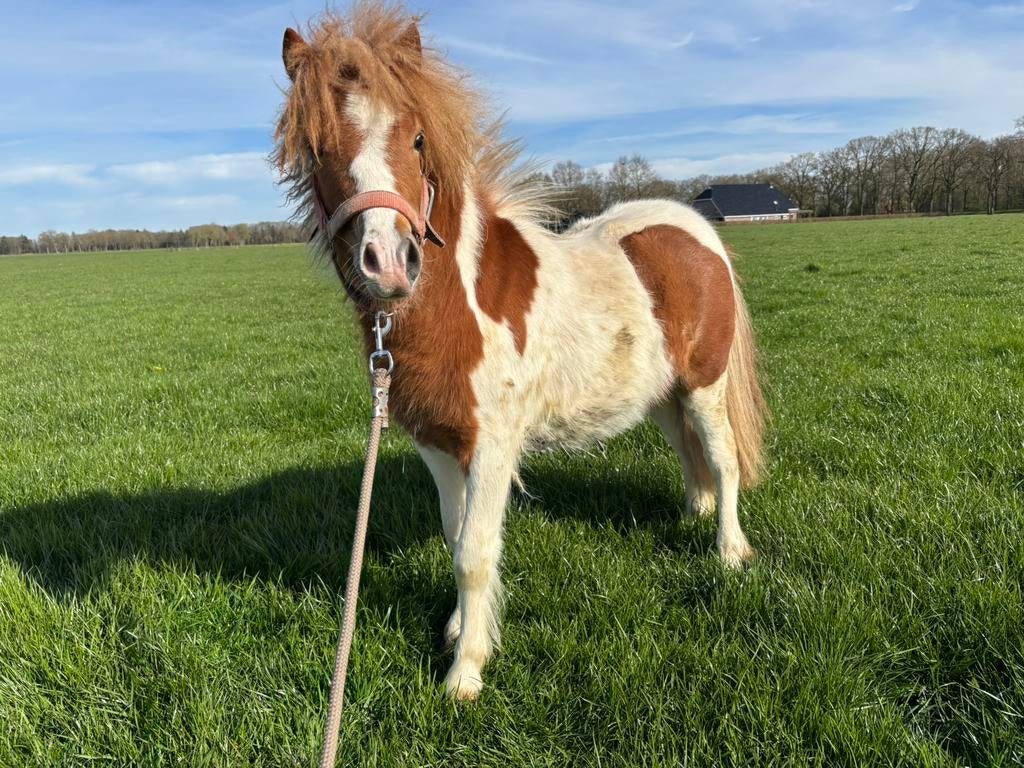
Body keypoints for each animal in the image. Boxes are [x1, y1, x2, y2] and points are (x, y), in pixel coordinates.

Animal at [273, 4, 768, 701]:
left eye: (418, 140)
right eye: (318, 149)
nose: (389, 263)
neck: (456, 307)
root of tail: (696, 229)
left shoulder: (492, 445)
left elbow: (475, 552)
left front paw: (465, 672)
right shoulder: (437, 444)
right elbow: (454, 536)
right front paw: (458, 629)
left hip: (706, 383)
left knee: (724, 461)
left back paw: (728, 551)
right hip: (663, 395)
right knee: (689, 453)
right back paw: (694, 514)